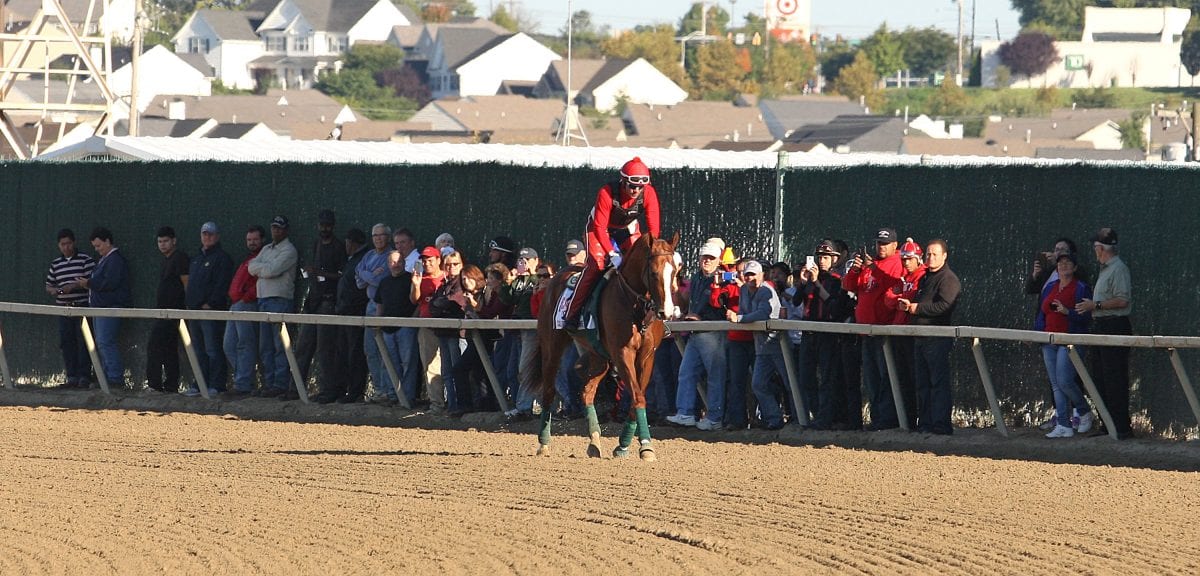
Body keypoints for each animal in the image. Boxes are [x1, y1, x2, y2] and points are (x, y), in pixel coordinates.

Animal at [532, 231, 676, 460]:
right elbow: (638, 397)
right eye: (654, 273)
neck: (636, 308)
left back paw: (594, 441)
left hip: (598, 357)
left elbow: (637, 398)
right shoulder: (622, 354)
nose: (667, 312)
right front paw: (645, 446)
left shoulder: (647, 356)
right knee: (548, 390)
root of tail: (555, 278)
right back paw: (544, 443)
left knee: (587, 393)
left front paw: (625, 446)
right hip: (552, 346)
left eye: (676, 271)